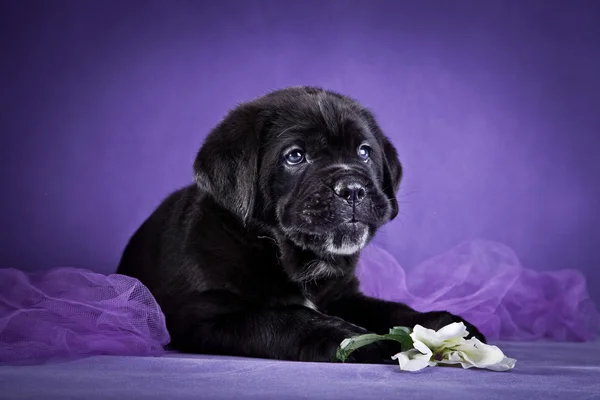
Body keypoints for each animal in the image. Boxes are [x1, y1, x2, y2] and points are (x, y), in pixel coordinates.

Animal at [116, 85, 482, 362]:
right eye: (295, 156)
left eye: (364, 152)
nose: (353, 189)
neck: (293, 258)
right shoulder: (203, 314)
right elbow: (286, 317)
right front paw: (353, 339)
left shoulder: (342, 295)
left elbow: (390, 309)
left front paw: (440, 324)